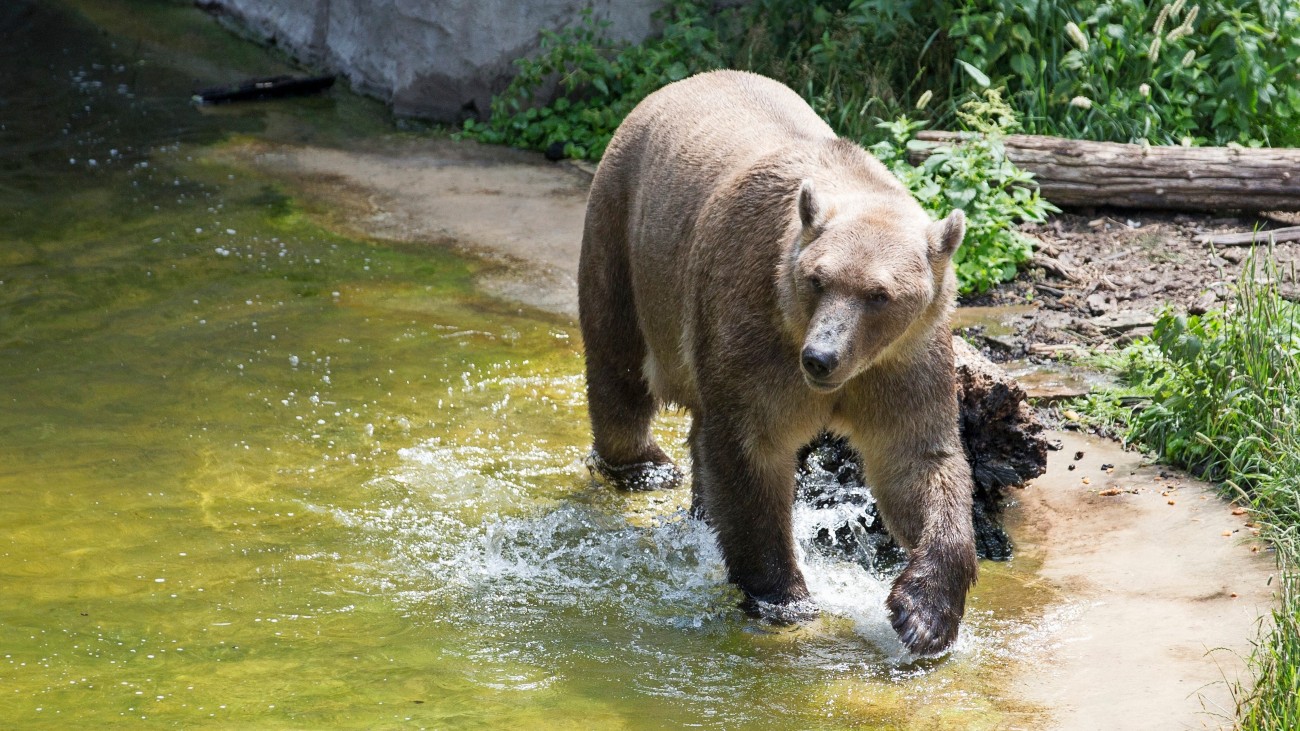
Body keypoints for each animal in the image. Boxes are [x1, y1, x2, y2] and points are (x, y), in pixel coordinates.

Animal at [579, 68, 977, 650]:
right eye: (817, 279)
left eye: (879, 294)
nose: (821, 358)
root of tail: (675, 86)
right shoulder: (755, 334)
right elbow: (751, 455)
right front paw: (786, 596)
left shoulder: (903, 362)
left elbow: (916, 460)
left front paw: (924, 615)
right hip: (627, 234)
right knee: (619, 363)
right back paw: (644, 465)